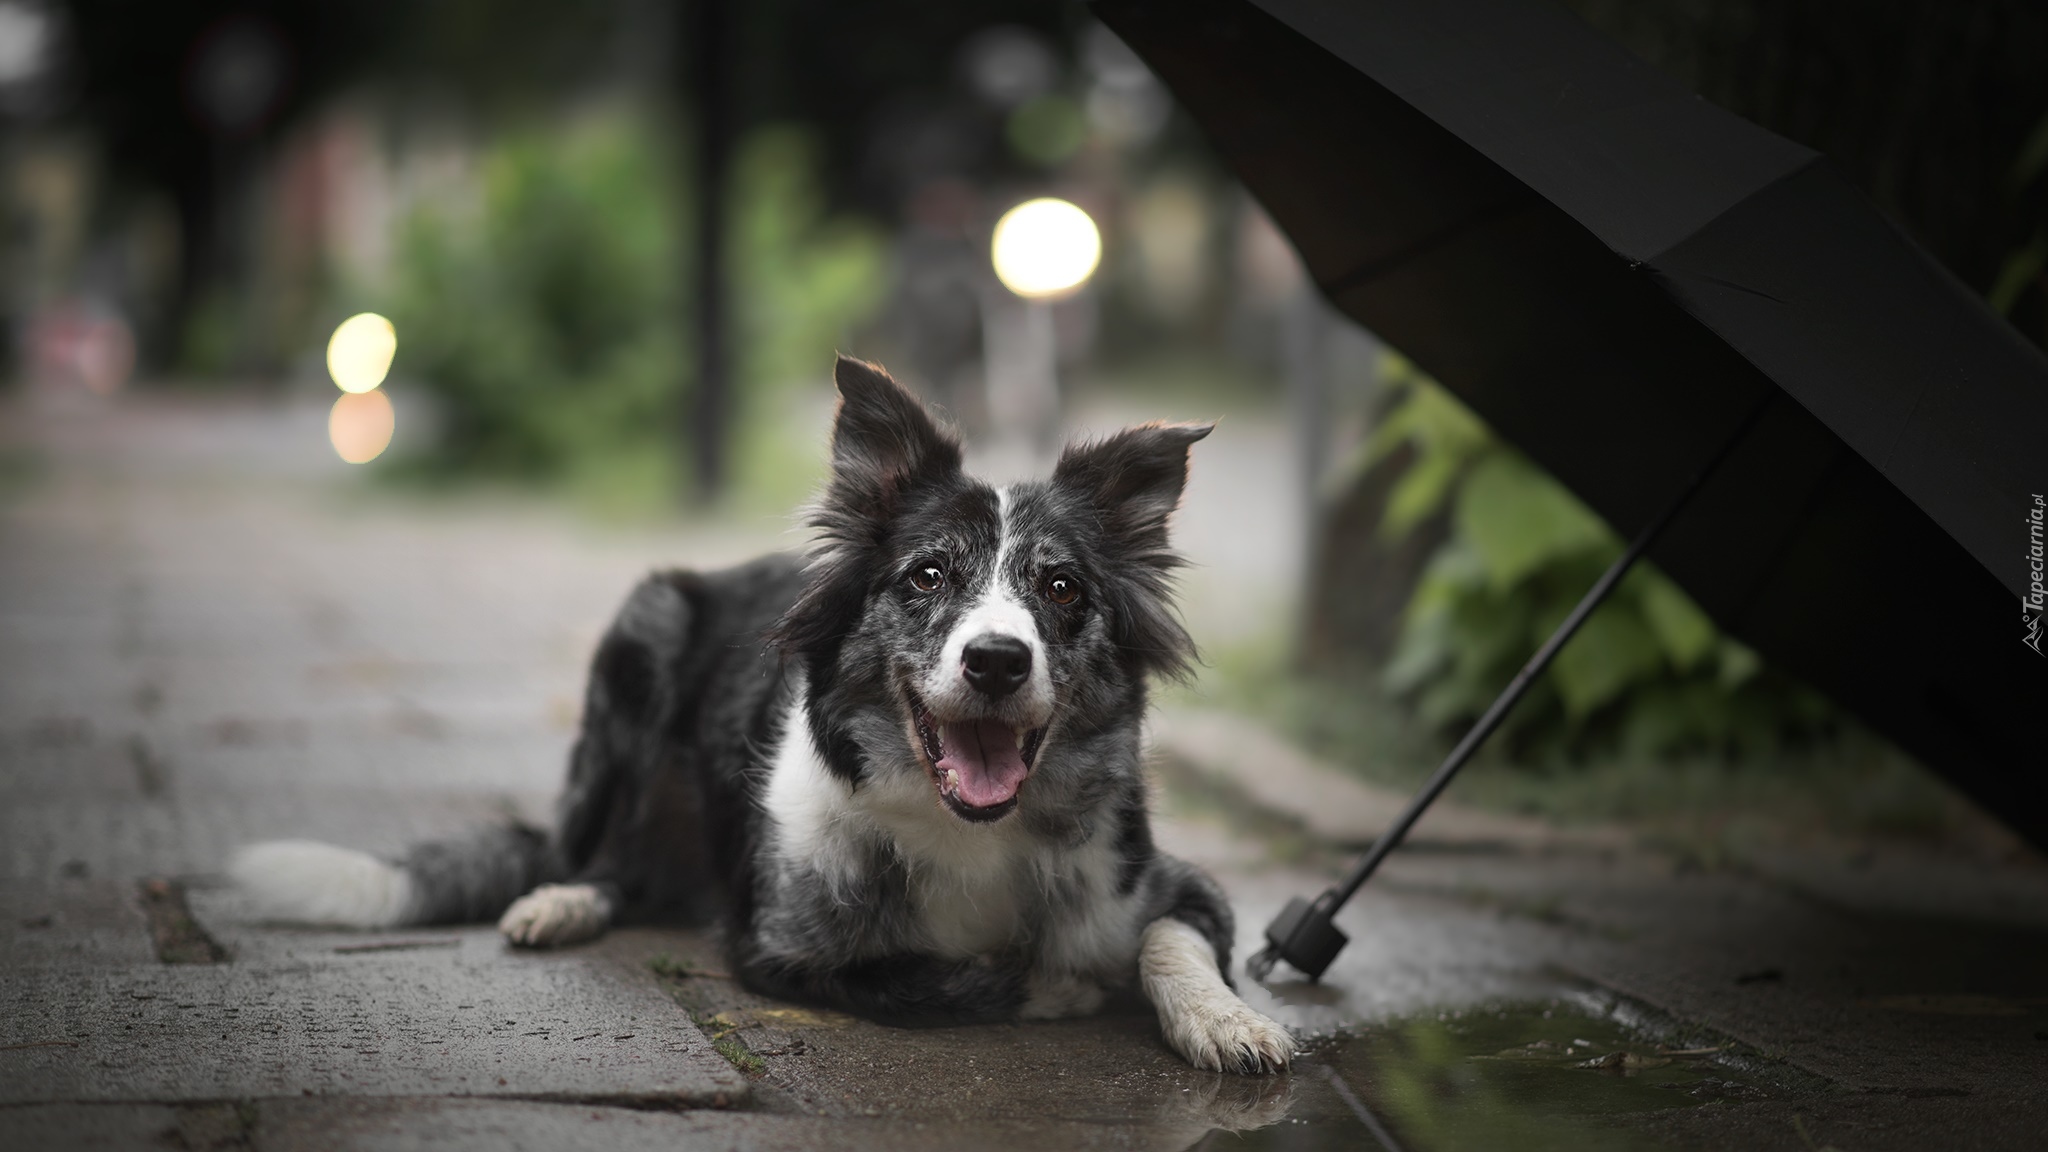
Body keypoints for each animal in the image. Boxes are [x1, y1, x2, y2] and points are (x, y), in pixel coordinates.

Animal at [232, 354, 1294, 1074]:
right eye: (929, 576)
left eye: (1063, 588)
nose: (996, 661)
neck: (966, 830)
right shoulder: (778, 947)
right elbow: (933, 979)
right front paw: (1058, 986)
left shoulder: (1173, 881)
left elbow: (1172, 939)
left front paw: (1230, 1020)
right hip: (642, 636)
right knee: (590, 857)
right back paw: (561, 899)